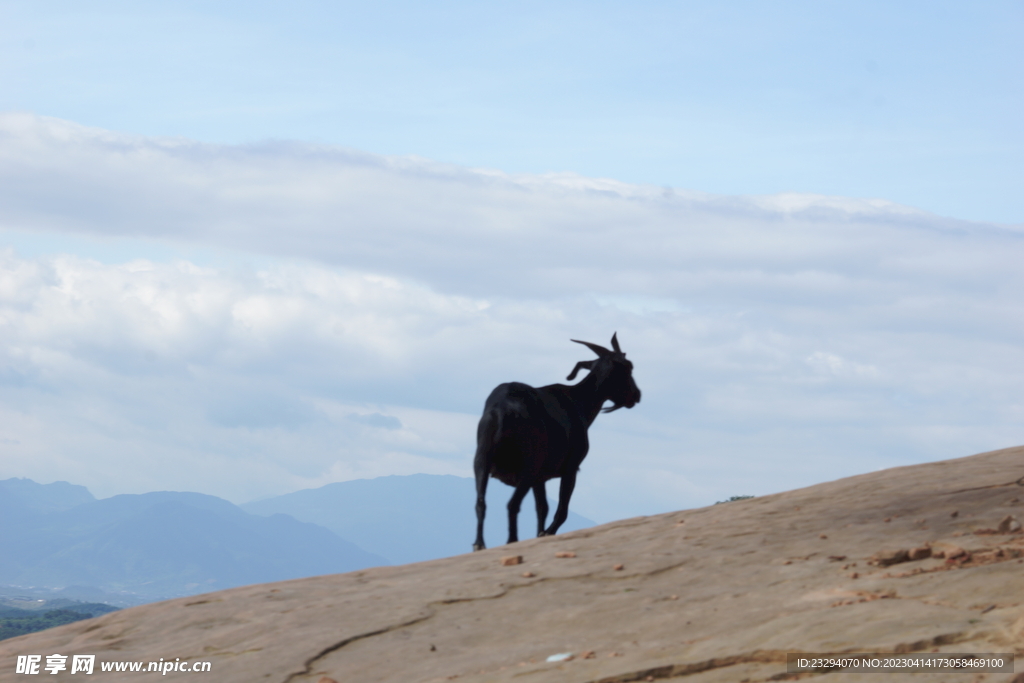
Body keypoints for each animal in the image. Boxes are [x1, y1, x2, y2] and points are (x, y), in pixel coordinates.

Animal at [473, 333, 638, 552]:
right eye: (628, 366)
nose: (636, 395)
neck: (578, 402)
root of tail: (502, 411)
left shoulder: (539, 478)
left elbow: (542, 507)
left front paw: (539, 533)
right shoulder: (571, 468)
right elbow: (561, 510)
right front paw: (545, 533)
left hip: (482, 461)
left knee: (481, 502)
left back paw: (479, 544)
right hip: (528, 466)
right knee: (512, 504)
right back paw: (511, 541)